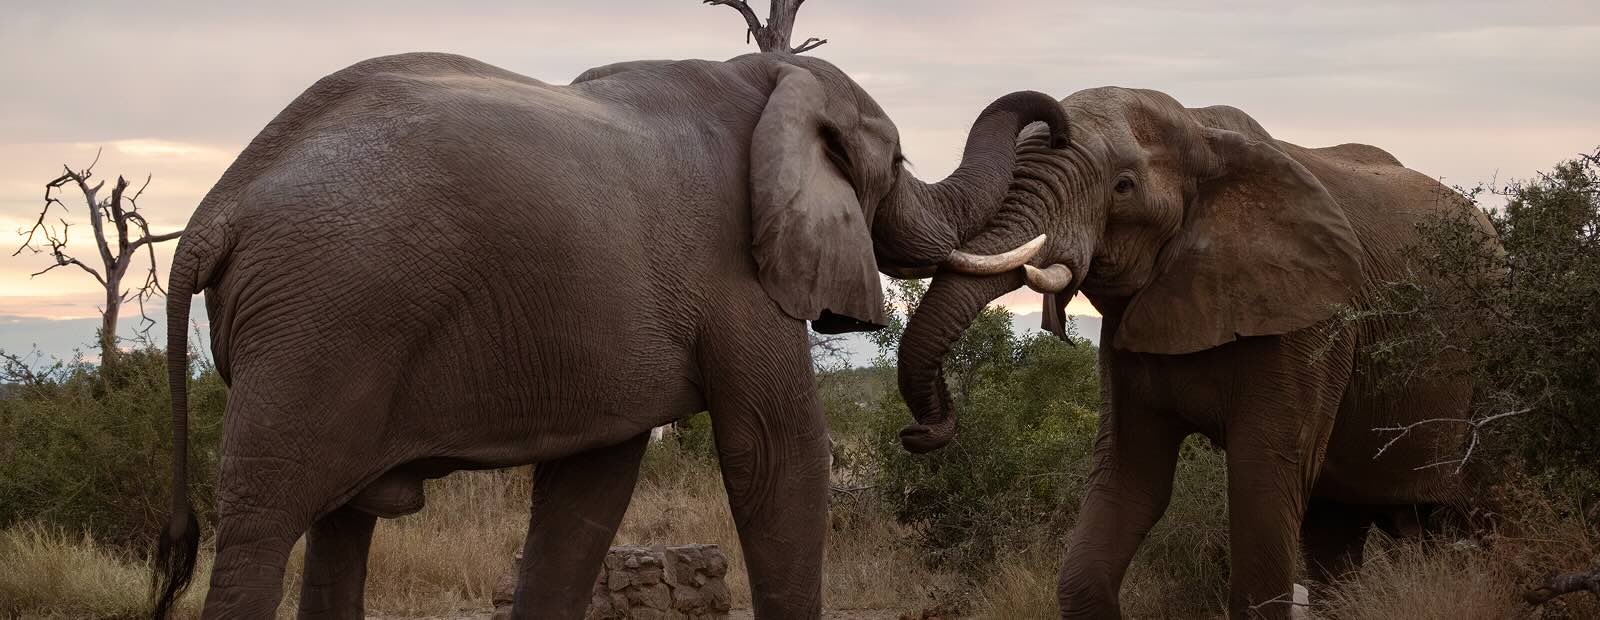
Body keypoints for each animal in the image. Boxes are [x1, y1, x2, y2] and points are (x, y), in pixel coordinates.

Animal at [148, 51, 1068, 619]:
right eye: (900, 163)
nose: (920, 434)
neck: (768, 78)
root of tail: (217, 209)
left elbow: (590, 490)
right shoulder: (735, 269)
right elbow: (777, 453)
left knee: (342, 525)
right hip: (317, 328)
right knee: (264, 526)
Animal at [889, 86, 1498, 619]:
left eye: (1124, 186)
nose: (918, 432)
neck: (1203, 134)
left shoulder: (1307, 322)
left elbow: (1263, 478)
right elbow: (1130, 478)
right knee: (1336, 531)